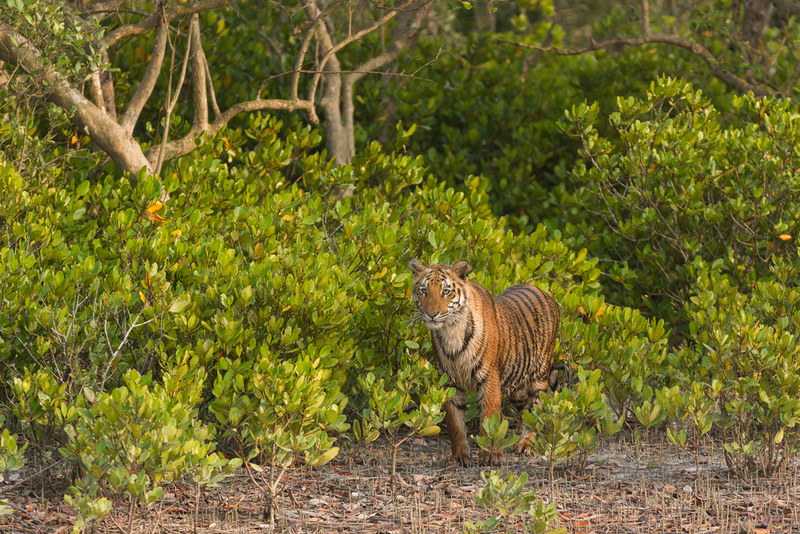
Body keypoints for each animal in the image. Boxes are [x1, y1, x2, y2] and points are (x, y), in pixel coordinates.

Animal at [410, 258, 560, 464]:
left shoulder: (489, 377)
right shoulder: (449, 381)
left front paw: (490, 455)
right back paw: (517, 441)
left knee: (535, 412)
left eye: (446, 291)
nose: (431, 314)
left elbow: (489, 417)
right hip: (518, 388)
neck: (451, 331)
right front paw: (459, 456)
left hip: (539, 376)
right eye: (423, 291)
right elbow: (455, 423)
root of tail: (546, 293)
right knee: (525, 412)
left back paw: (525, 445)